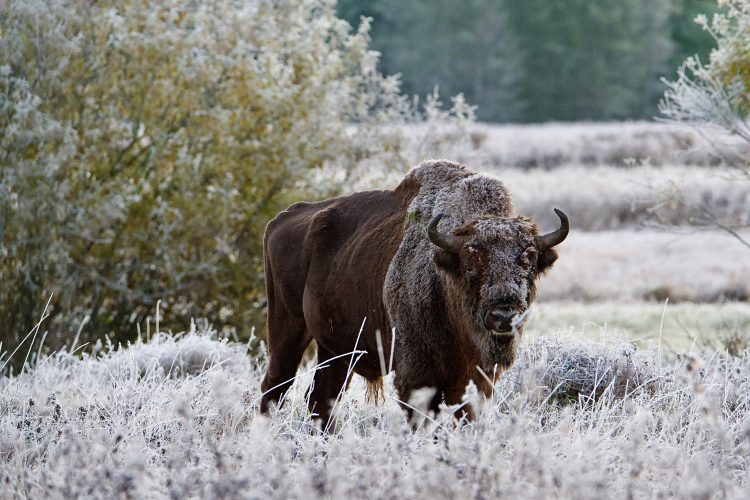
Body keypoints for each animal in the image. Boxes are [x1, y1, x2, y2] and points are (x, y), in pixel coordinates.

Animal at [259, 160, 568, 424]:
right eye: (469, 265)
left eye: (529, 262)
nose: (504, 316)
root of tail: (282, 219)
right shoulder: (416, 375)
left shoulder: (474, 379)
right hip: (288, 327)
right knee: (275, 386)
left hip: (336, 349)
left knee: (322, 397)